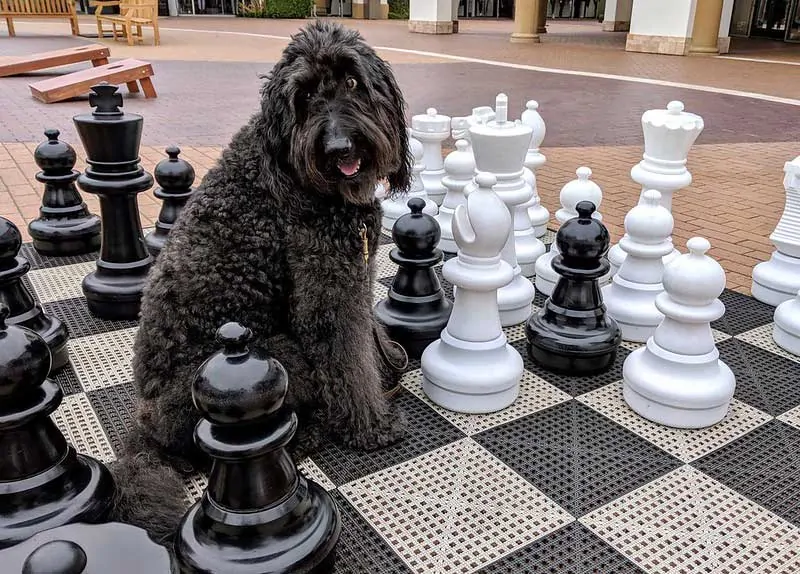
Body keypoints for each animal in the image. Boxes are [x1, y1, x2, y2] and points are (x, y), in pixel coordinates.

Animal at [109, 19, 412, 544]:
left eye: (353, 81)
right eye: (304, 95)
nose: (339, 147)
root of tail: (145, 427)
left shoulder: (356, 272)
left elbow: (367, 344)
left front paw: (387, 367)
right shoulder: (327, 292)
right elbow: (348, 361)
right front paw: (370, 426)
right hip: (278, 359)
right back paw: (308, 433)